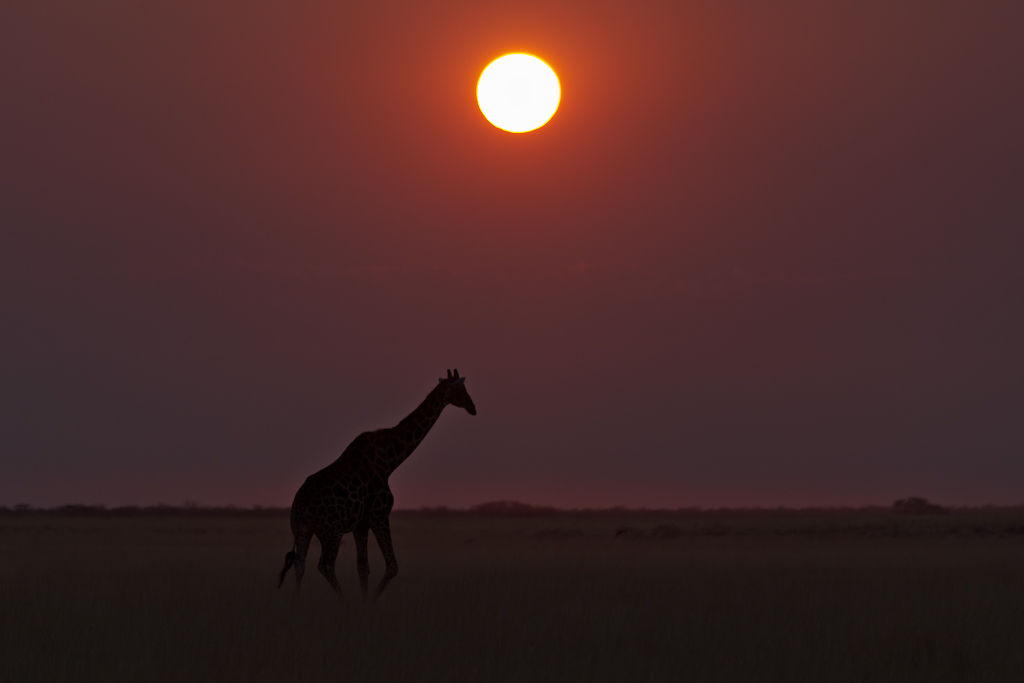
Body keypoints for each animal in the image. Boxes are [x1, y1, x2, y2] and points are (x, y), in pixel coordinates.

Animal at [277, 369, 476, 599]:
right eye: (462, 389)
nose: (473, 408)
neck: (390, 460)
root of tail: (299, 506)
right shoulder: (379, 514)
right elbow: (392, 566)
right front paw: (371, 601)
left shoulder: (361, 524)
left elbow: (363, 567)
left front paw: (365, 601)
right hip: (331, 531)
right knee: (325, 565)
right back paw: (343, 601)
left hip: (302, 529)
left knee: (299, 565)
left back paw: (297, 599)